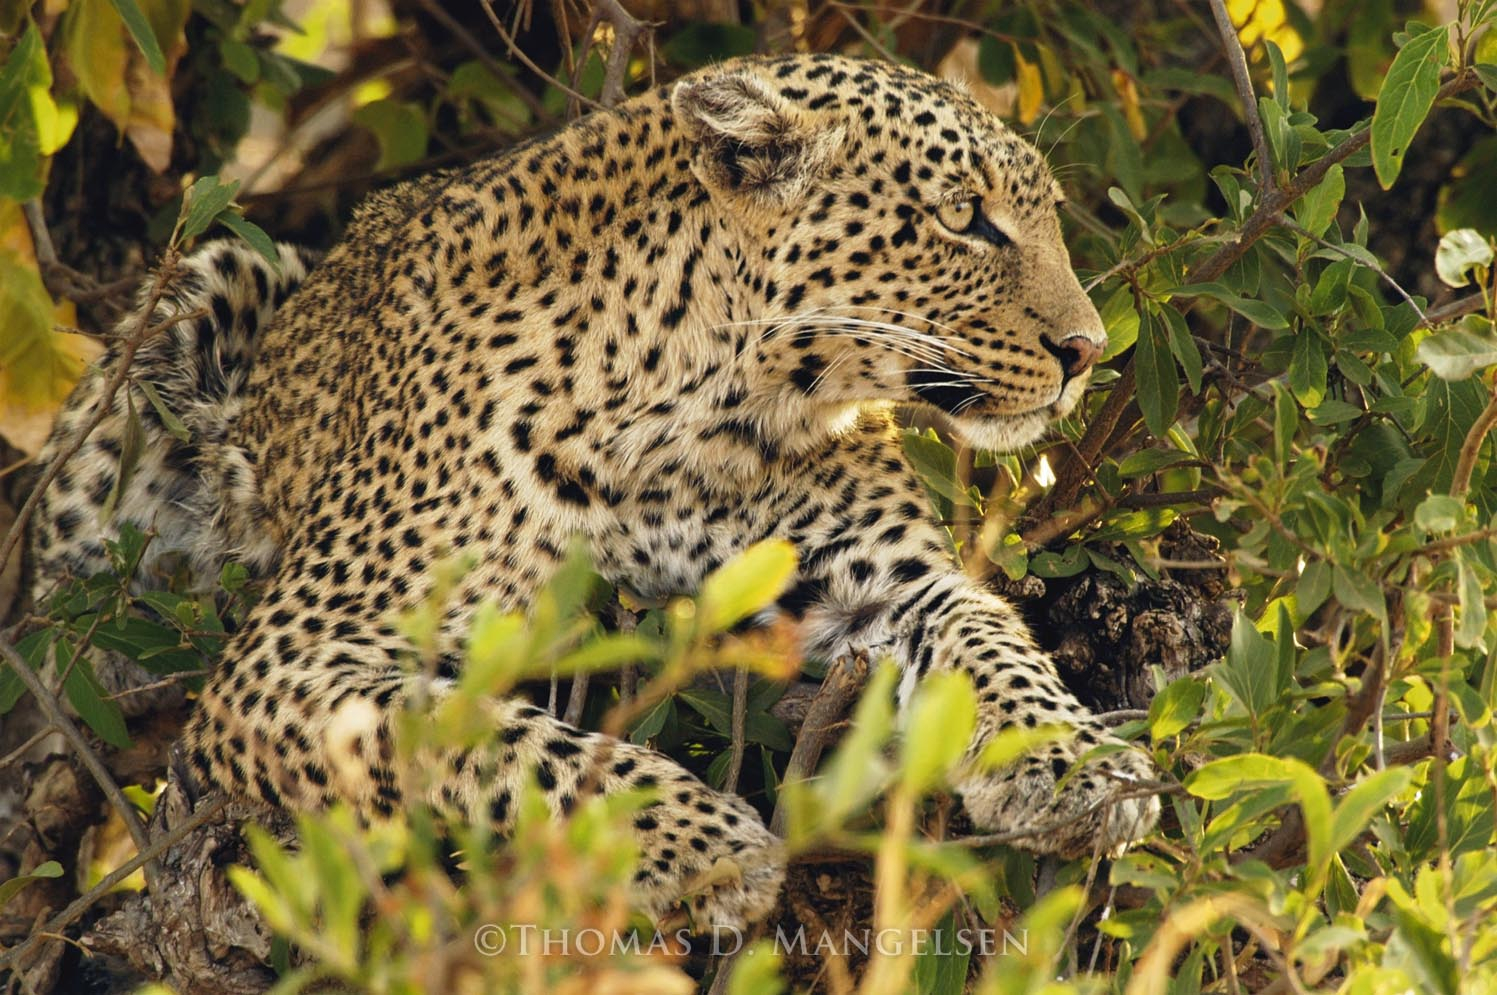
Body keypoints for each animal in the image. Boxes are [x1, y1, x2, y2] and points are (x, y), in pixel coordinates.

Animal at [27, 52, 1161, 931]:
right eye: (964, 220)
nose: (1089, 352)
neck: (697, 409)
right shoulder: (296, 649)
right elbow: (497, 738)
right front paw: (704, 847)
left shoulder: (892, 583)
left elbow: (992, 643)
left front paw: (1084, 766)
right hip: (202, 290)